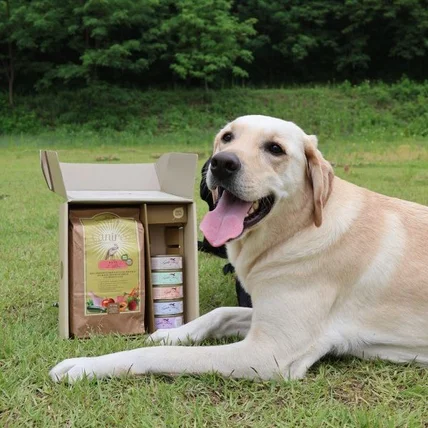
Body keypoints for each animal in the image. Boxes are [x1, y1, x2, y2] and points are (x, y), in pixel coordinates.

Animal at [49, 115, 428, 382]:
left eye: (275, 148)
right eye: (227, 137)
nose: (222, 163)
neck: (297, 230)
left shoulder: (268, 352)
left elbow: (165, 357)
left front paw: (84, 366)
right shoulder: (261, 314)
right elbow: (218, 313)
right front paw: (171, 333)